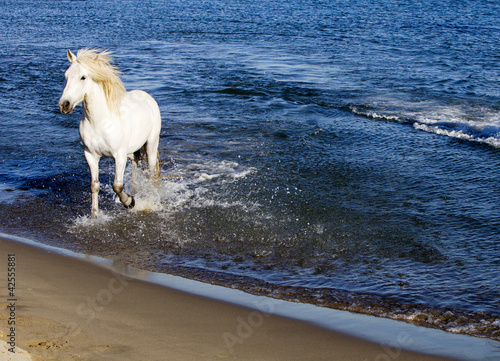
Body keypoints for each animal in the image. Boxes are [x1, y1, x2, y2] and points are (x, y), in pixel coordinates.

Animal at [58, 47, 161, 217]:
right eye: (66, 76)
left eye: (83, 77)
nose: (64, 105)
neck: (100, 122)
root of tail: (148, 97)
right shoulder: (91, 155)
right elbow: (94, 186)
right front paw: (94, 216)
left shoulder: (119, 155)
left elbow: (117, 186)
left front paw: (130, 202)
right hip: (132, 150)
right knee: (135, 161)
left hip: (151, 144)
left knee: (152, 173)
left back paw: (150, 199)